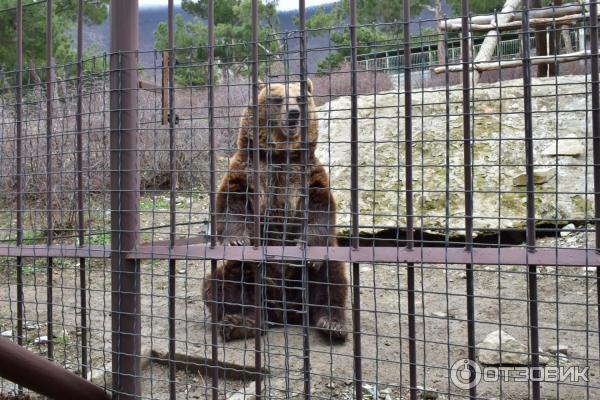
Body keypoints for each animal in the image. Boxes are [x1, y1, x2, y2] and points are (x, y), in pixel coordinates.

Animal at [204, 79, 350, 342]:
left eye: (300, 98)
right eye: (277, 99)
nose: (294, 113)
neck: (281, 154)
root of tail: (284, 313)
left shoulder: (307, 175)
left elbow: (320, 209)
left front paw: (307, 246)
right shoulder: (248, 170)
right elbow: (233, 204)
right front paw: (236, 240)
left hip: (307, 278)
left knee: (331, 279)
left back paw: (332, 323)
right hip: (250, 275)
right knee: (223, 284)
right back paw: (240, 322)